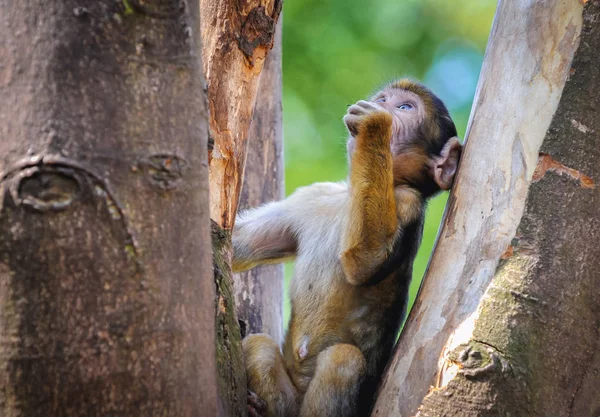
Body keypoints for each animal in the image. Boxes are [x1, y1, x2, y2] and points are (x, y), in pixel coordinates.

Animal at [232, 79, 462, 416]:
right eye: (384, 97)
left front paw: (374, 125)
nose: (381, 103)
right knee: (257, 346)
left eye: (404, 107)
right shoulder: (311, 197)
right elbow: (238, 244)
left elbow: (366, 260)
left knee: (344, 359)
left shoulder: (408, 200)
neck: (350, 196)